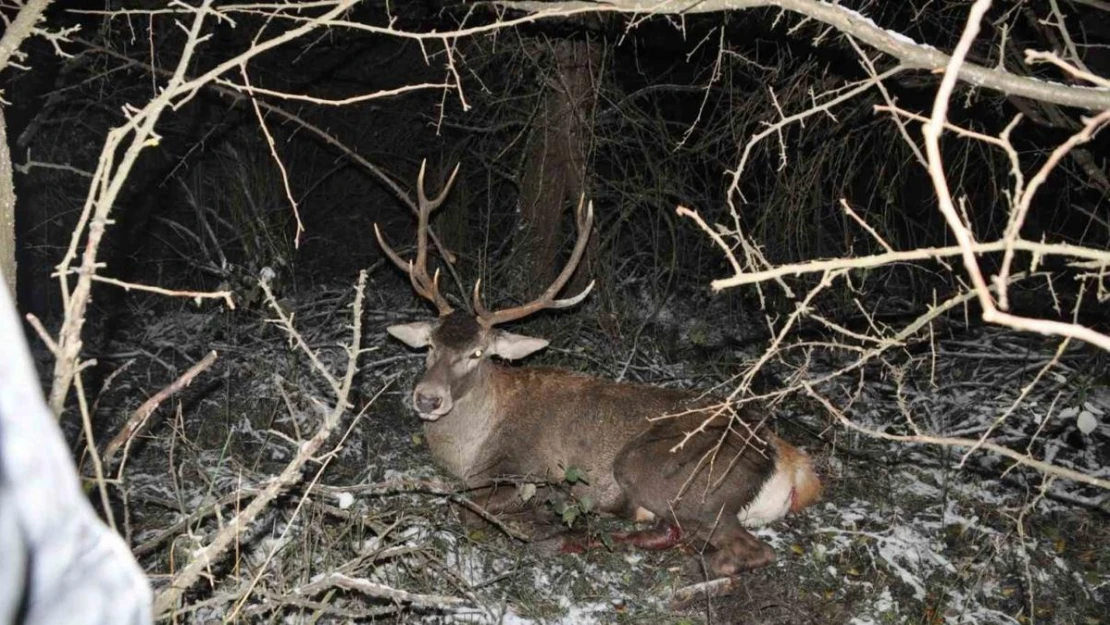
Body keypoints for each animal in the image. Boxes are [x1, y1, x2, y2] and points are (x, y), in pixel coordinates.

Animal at [377, 164, 821, 581]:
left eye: (477, 353)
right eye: (430, 344)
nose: (428, 398)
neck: (468, 452)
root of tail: (790, 463)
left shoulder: (530, 470)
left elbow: (467, 508)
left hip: (659, 470)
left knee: (743, 548)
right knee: (675, 531)